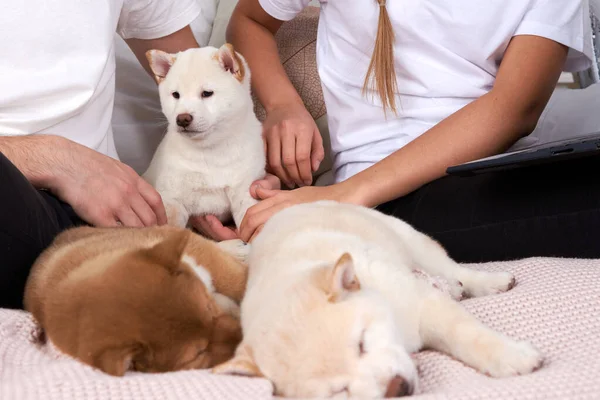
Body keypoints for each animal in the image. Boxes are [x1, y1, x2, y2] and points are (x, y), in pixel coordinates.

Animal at [142, 44, 264, 228]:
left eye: (207, 93)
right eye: (176, 95)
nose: (182, 119)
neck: (210, 152)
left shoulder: (245, 192)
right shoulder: (172, 199)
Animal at [214, 202, 544, 398]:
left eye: (361, 343)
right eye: (339, 391)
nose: (396, 388)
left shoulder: (423, 304)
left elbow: (466, 334)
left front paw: (510, 356)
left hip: (409, 240)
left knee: (452, 268)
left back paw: (489, 282)